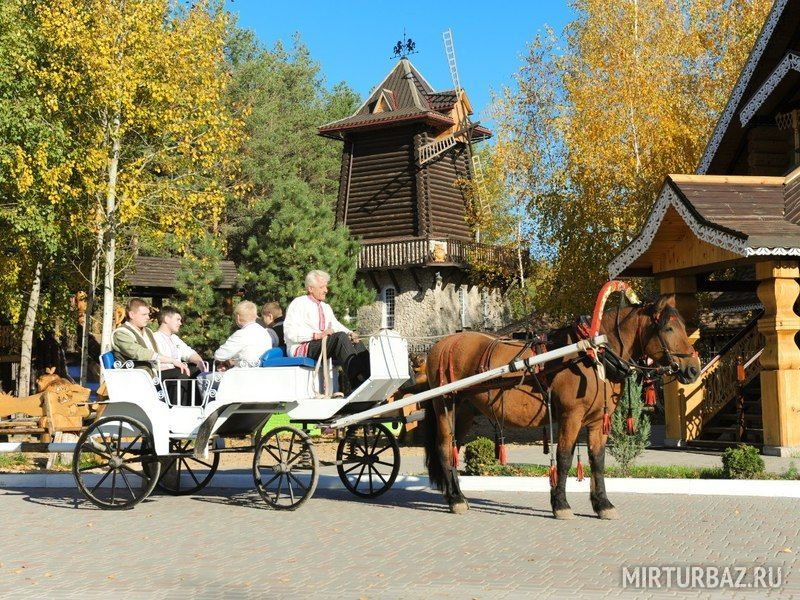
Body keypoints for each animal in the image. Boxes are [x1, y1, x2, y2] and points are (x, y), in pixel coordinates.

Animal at [424, 296, 700, 520]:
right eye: (668, 328)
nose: (693, 369)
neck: (592, 353)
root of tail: (440, 346)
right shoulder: (571, 416)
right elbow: (565, 458)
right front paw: (561, 504)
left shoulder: (597, 420)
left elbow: (597, 460)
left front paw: (602, 504)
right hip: (445, 404)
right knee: (444, 448)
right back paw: (456, 500)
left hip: (464, 411)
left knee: (453, 447)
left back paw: (455, 496)